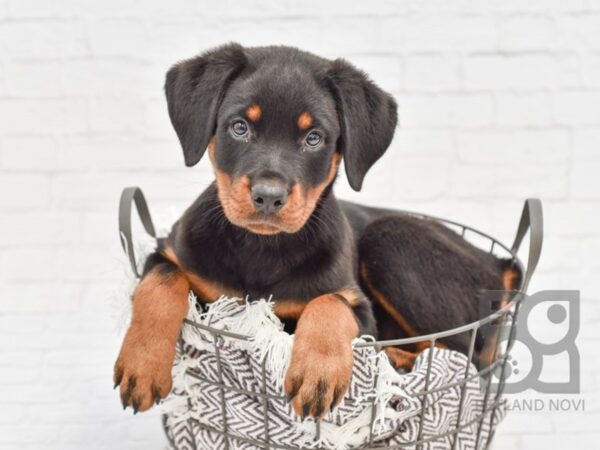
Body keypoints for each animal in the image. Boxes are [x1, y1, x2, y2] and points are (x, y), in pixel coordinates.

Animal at [115, 44, 516, 418]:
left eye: (314, 138)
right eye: (240, 127)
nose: (268, 196)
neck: (262, 248)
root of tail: (499, 263)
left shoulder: (360, 310)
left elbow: (328, 303)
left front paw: (317, 373)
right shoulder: (168, 251)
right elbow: (160, 282)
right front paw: (142, 364)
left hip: (390, 239)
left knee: (466, 357)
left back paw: (396, 360)